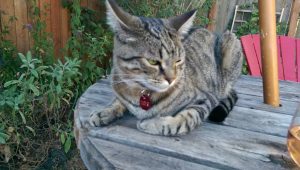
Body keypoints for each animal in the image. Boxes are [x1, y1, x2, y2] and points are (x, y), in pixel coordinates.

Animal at [89, 0, 244, 136]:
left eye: (178, 60)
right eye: (152, 62)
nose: (172, 79)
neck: (140, 93)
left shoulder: (204, 98)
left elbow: (185, 120)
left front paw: (152, 123)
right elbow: (118, 101)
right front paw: (104, 112)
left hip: (231, 43)